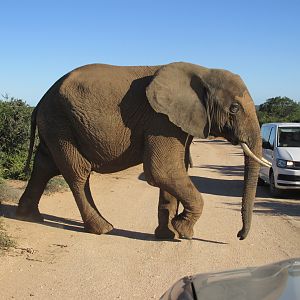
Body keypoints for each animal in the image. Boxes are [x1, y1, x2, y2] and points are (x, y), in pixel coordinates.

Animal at [16, 62, 270, 240]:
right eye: (234, 108)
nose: (239, 235)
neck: (203, 71)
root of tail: (40, 100)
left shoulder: (174, 122)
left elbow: (174, 173)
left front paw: (168, 236)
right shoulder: (161, 120)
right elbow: (162, 171)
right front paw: (184, 232)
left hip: (55, 124)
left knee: (44, 166)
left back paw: (28, 216)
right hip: (61, 122)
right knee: (77, 174)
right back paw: (103, 228)